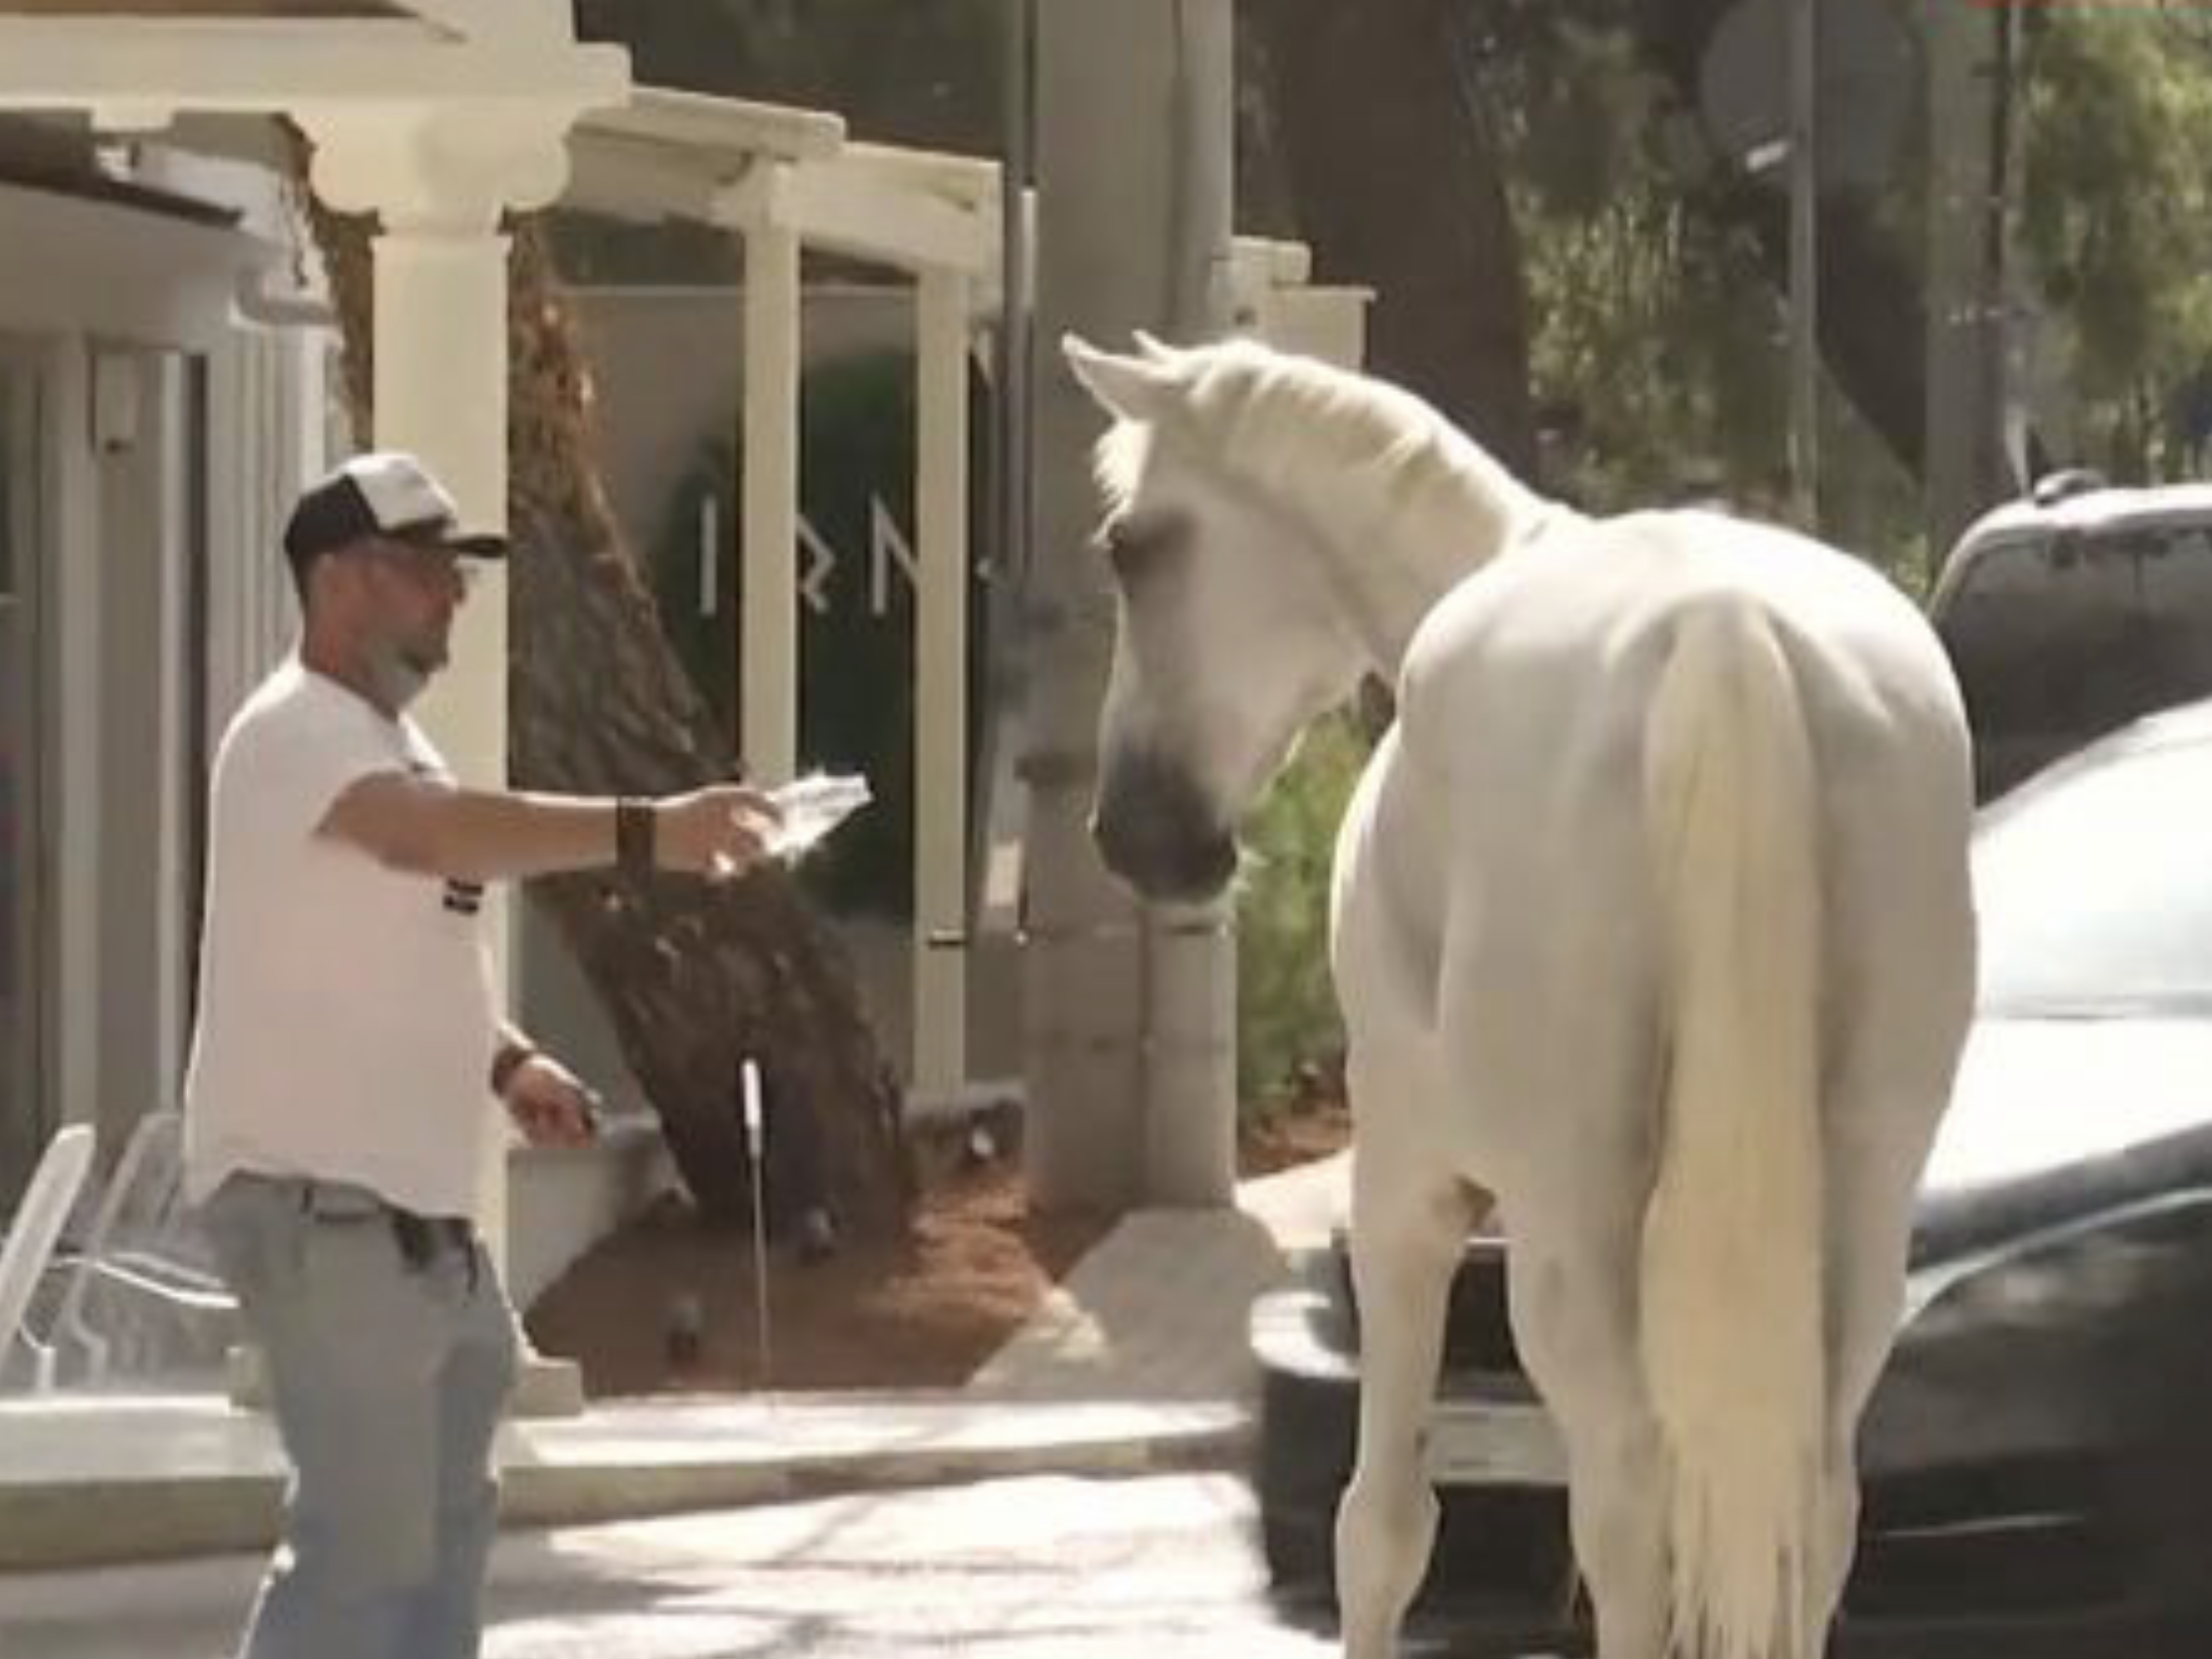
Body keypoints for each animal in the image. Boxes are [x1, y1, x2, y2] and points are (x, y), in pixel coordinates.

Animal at [1060, 331, 1977, 1659]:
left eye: (1131, 547)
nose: (1137, 835)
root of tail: (1722, 629)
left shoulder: (1404, 1190)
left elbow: (1381, 1529)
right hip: (1859, 1197)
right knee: (1815, 1504)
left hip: (1566, 1230)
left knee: (1626, 1501)